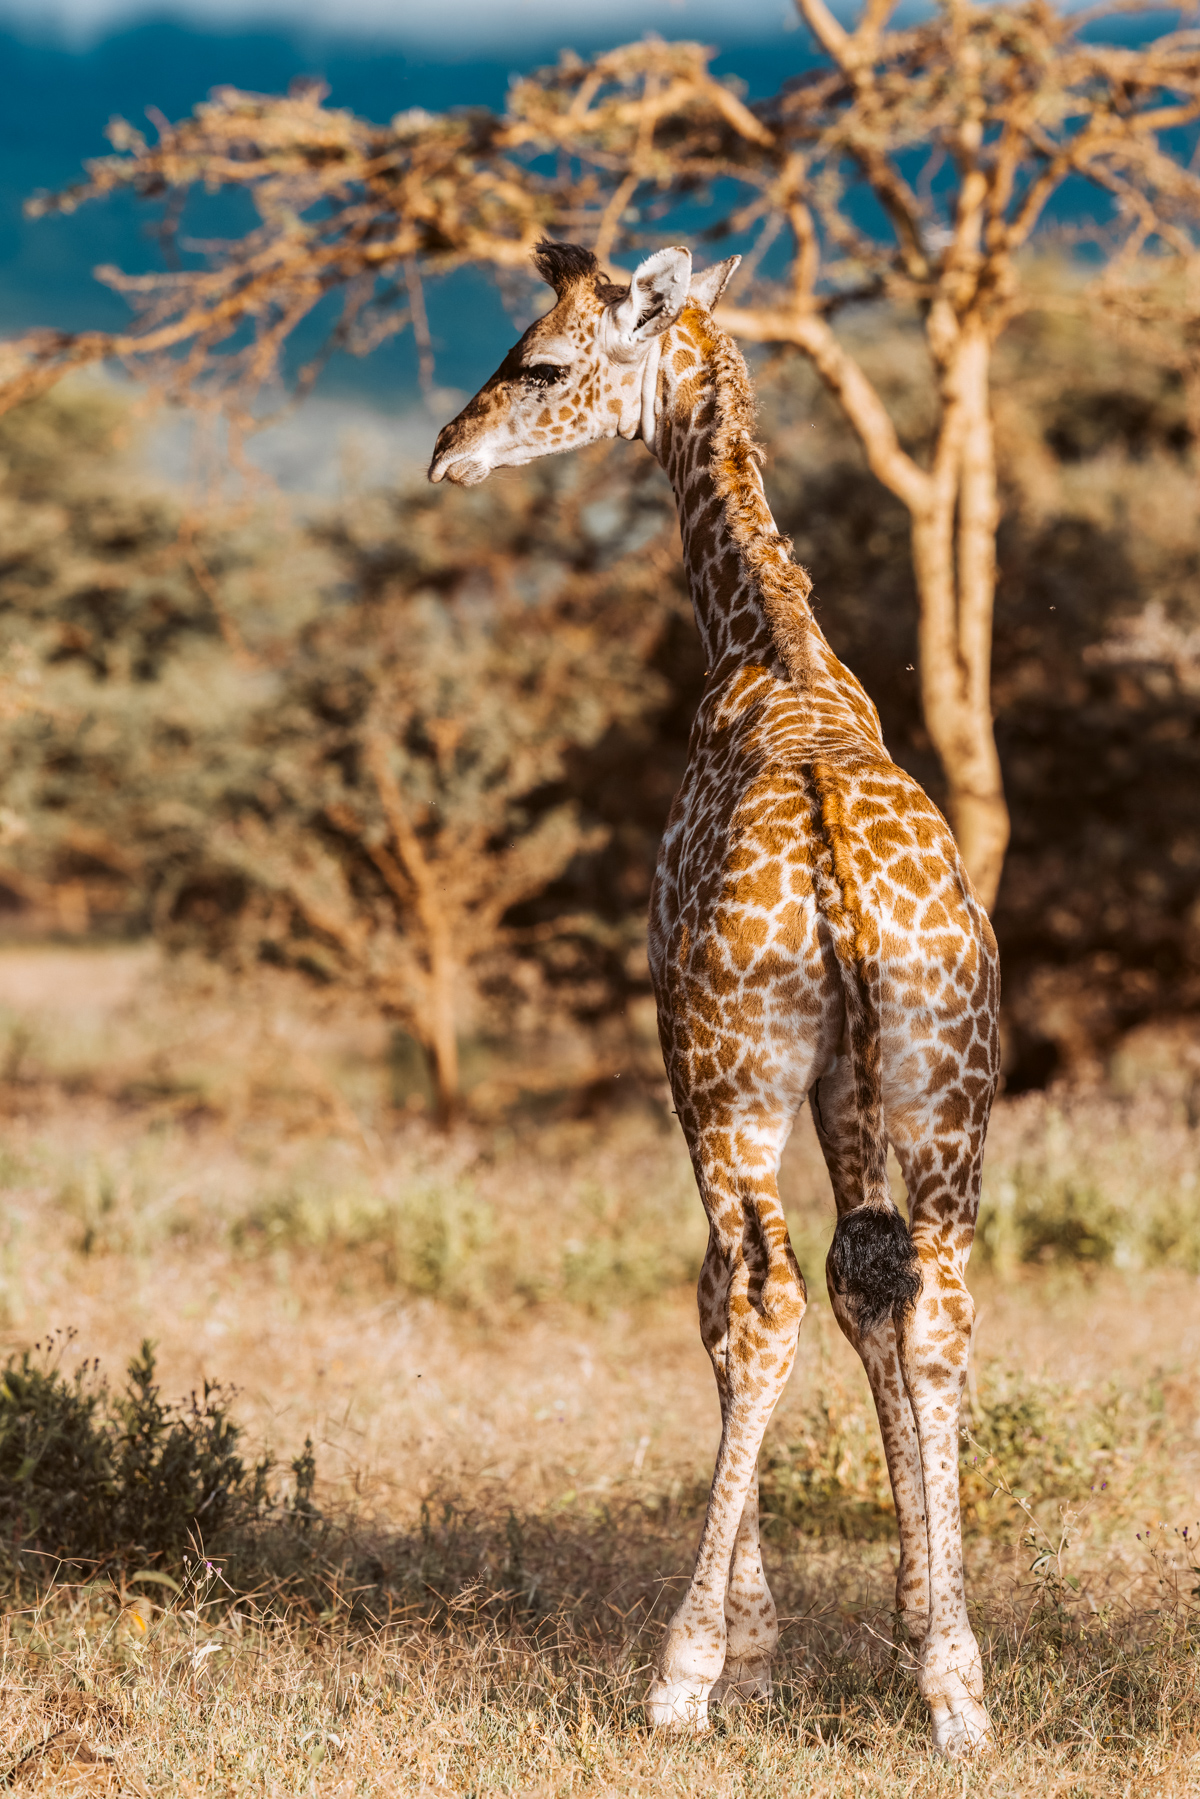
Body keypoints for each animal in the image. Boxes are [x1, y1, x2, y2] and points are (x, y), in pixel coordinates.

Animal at [429, 240, 1000, 1760]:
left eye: (542, 360)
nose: (450, 449)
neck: (768, 648)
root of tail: (846, 886)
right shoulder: (850, 1081)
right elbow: (871, 1282)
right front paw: (917, 1618)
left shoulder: (697, 1058)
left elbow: (718, 1296)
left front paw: (746, 1646)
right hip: (946, 1084)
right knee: (932, 1296)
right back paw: (961, 1681)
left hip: (733, 1072)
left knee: (757, 1294)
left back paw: (678, 1671)